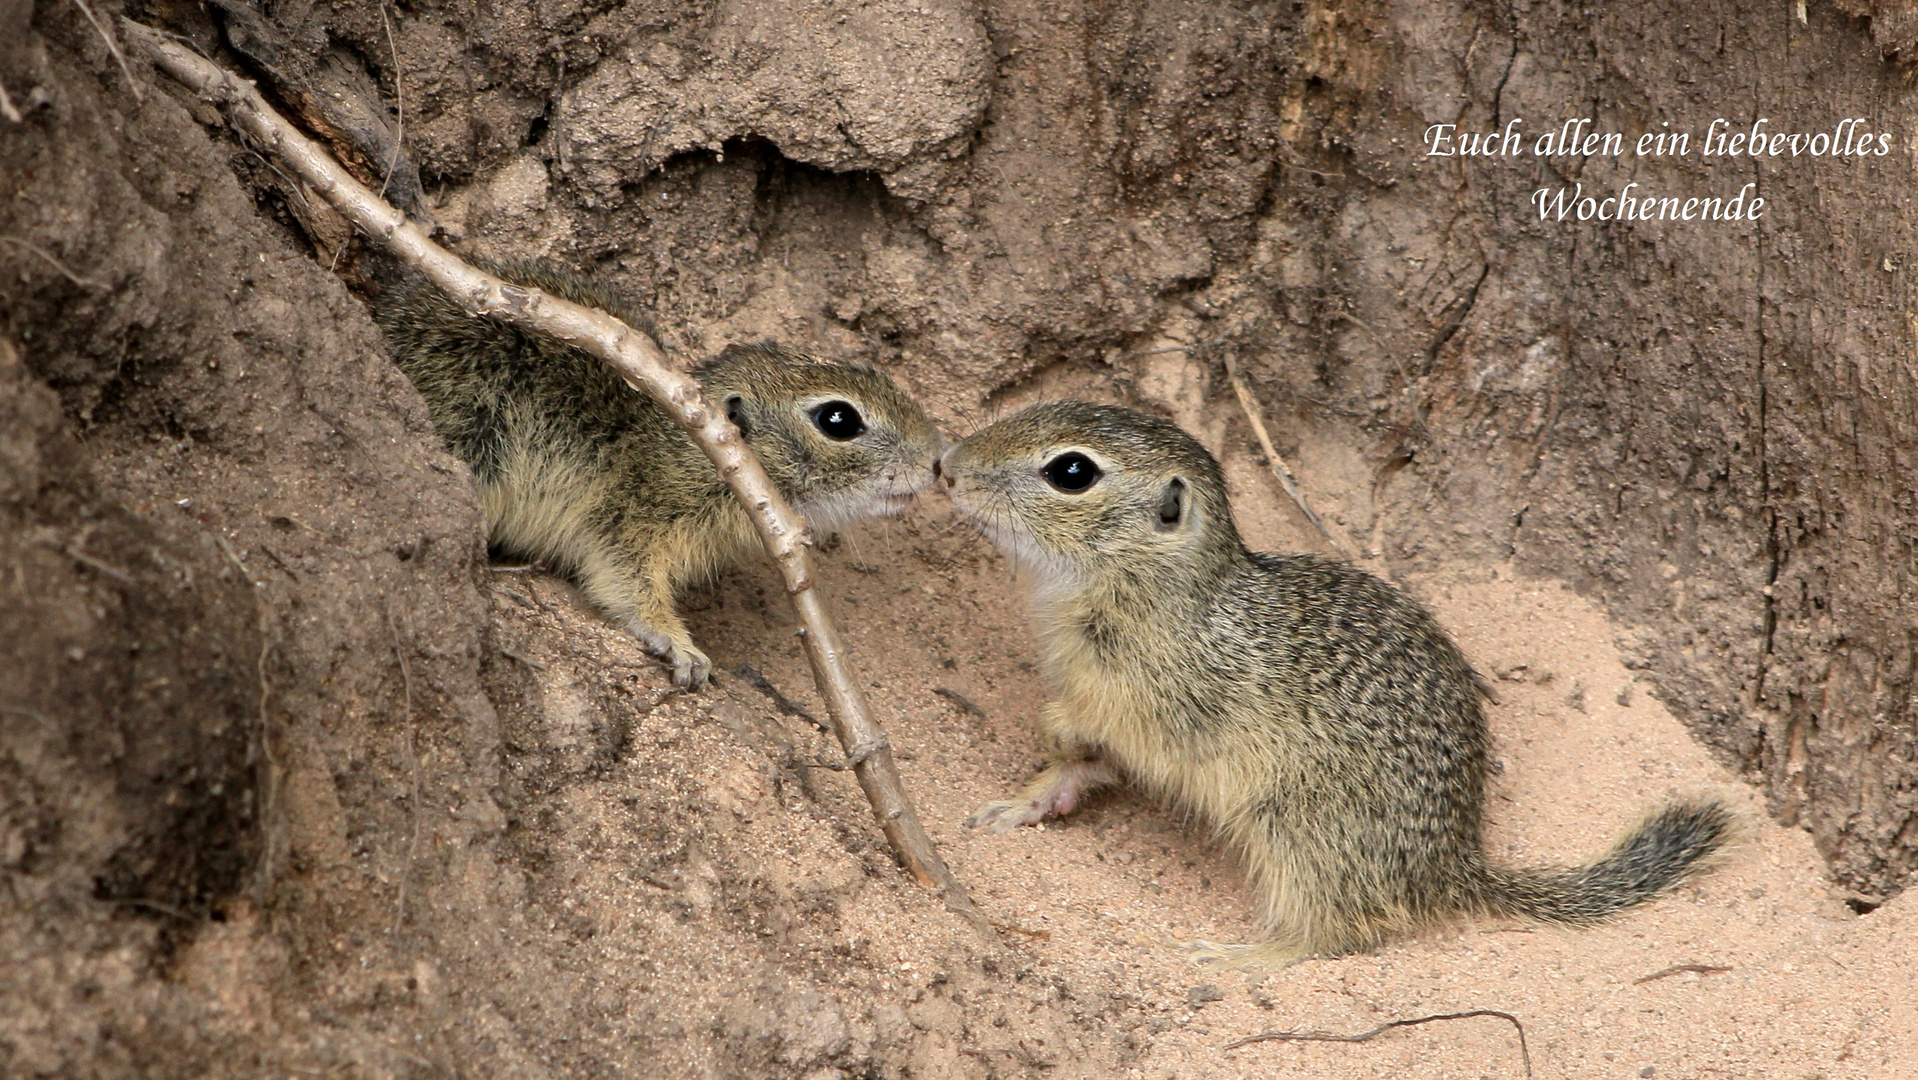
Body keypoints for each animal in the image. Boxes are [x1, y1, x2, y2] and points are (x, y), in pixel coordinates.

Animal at [375, 264, 943, 682]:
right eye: (838, 419)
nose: (937, 460)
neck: (687, 453)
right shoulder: (626, 527)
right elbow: (627, 587)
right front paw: (679, 644)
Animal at [947, 400, 1741, 966]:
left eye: (1071, 472)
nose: (948, 466)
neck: (1145, 588)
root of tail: (1453, 867)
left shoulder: (1156, 705)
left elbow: (1099, 726)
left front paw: (1051, 729)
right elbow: (1079, 765)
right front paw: (1022, 801)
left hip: (1299, 829)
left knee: (1334, 933)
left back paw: (1238, 958)